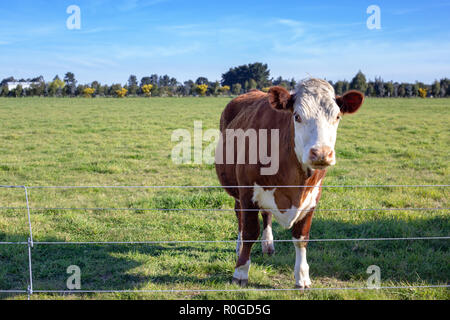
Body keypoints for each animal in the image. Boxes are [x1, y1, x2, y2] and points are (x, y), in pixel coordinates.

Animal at [215, 77, 366, 288]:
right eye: (297, 116)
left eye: (337, 117)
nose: (321, 153)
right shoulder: (247, 192)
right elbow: (250, 232)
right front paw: (241, 272)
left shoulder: (312, 197)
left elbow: (301, 237)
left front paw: (302, 277)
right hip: (235, 190)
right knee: (240, 217)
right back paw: (239, 246)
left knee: (267, 214)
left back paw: (268, 245)